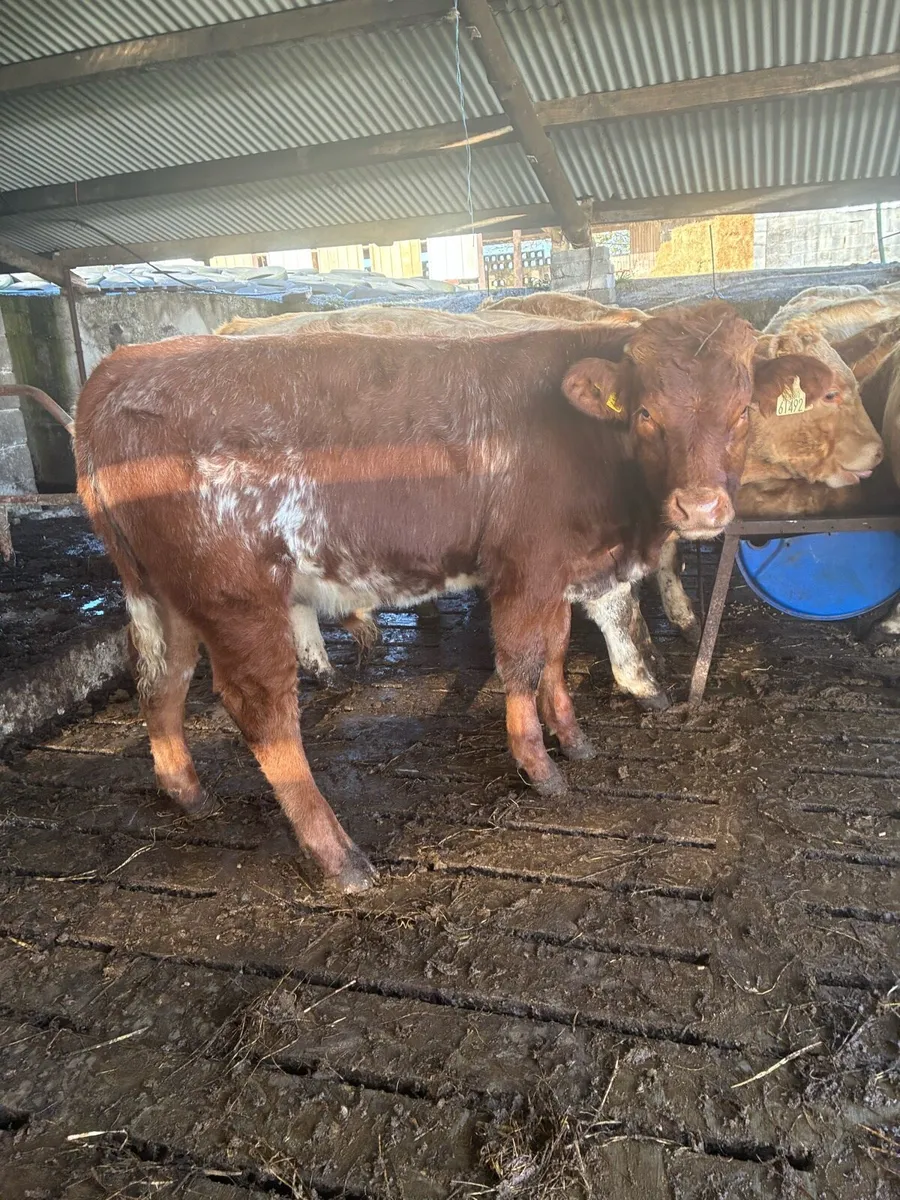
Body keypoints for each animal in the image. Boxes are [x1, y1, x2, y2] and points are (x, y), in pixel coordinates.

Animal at [76, 303, 838, 890]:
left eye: (743, 412)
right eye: (646, 412)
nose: (701, 506)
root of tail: (122, 370)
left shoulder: (562, 572)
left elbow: (557, 652)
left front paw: (574, 739)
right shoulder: (525, 568)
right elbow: (523, 663)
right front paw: (538, 766)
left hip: (158, 594)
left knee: (161, 683)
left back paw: (187, 792)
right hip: (236, 597)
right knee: (262, 713)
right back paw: (338, 856)